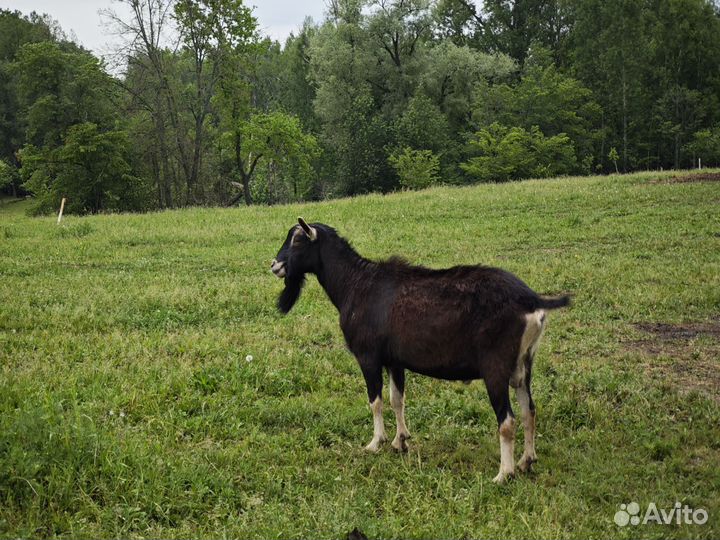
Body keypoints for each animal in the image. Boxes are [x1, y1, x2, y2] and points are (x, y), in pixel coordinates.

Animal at [270, 217, 568, 484]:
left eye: (298, 239)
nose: (275, 265)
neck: (354, 284)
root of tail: (533, 301)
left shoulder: (368, 356)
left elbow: (375, 400)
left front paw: (375, 442)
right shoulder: (395, 360)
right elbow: (396, 399)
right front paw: (400, 441)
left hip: (496, 367)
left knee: (507, 421)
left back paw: (504, 474)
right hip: (524, 364)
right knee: (529, 411)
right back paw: (526, 461)